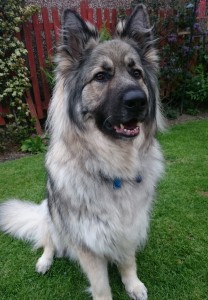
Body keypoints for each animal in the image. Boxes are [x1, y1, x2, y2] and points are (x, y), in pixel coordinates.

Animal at [0, 5, 164, 300]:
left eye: (136, 73)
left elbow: (128, 261)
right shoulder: (86, 240)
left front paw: (133, 284)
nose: (138, 101)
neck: (114, 167)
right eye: (101, 76)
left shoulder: (128, 226)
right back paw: (45, 261)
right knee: (48, 240)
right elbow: (100, 286)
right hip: (51, 215)